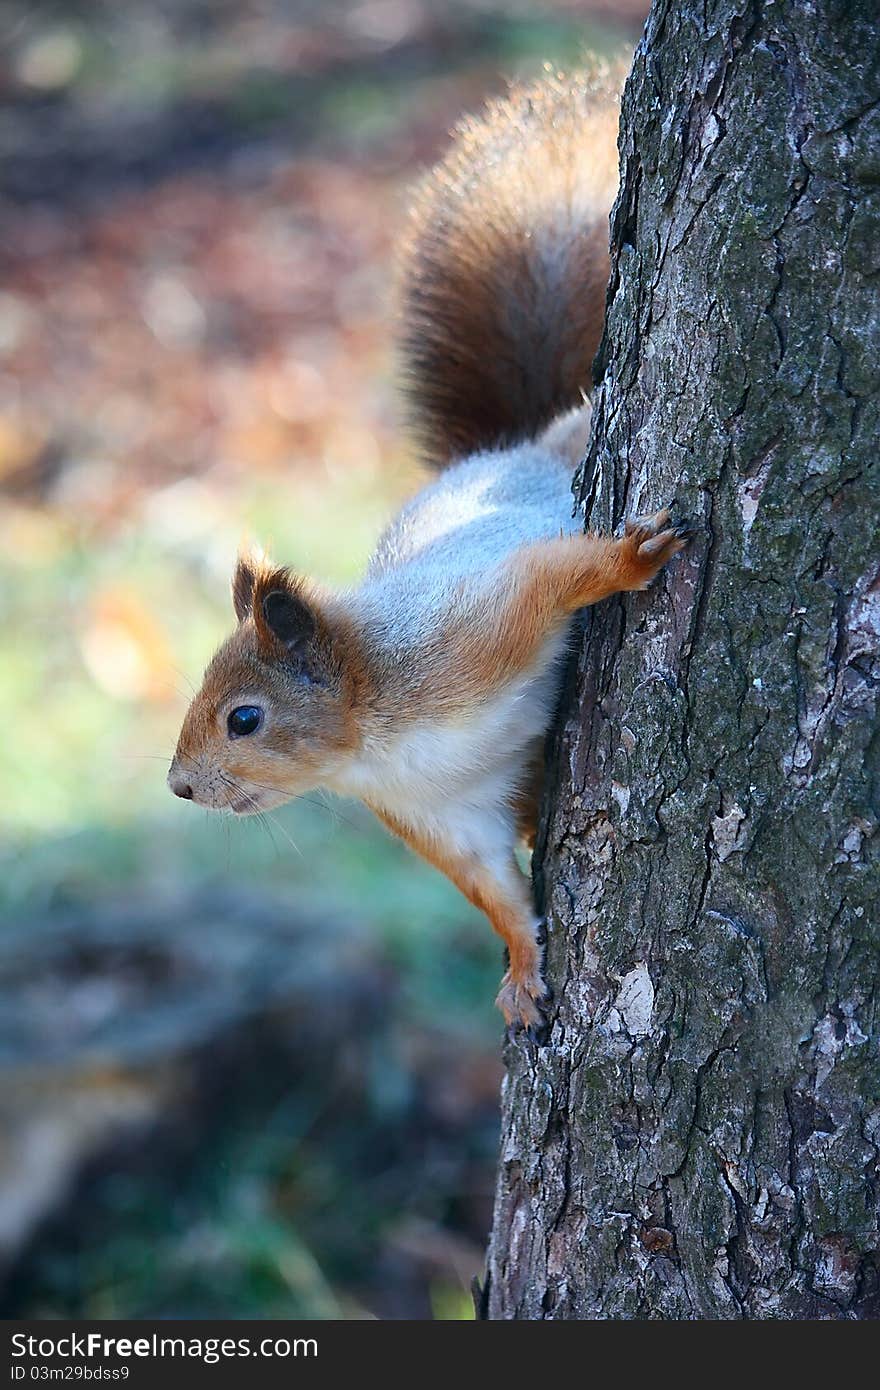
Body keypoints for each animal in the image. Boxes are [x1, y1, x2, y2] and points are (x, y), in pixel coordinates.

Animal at [163, 70, 686, 1039]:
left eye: (244, 719)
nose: (178, 788)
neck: (377, 740)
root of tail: (507, 449)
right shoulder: (442, 820)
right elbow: (494, 894)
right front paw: (521, 971)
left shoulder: (471, 630)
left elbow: (549, 579)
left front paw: (630, 562)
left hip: (549, 466)